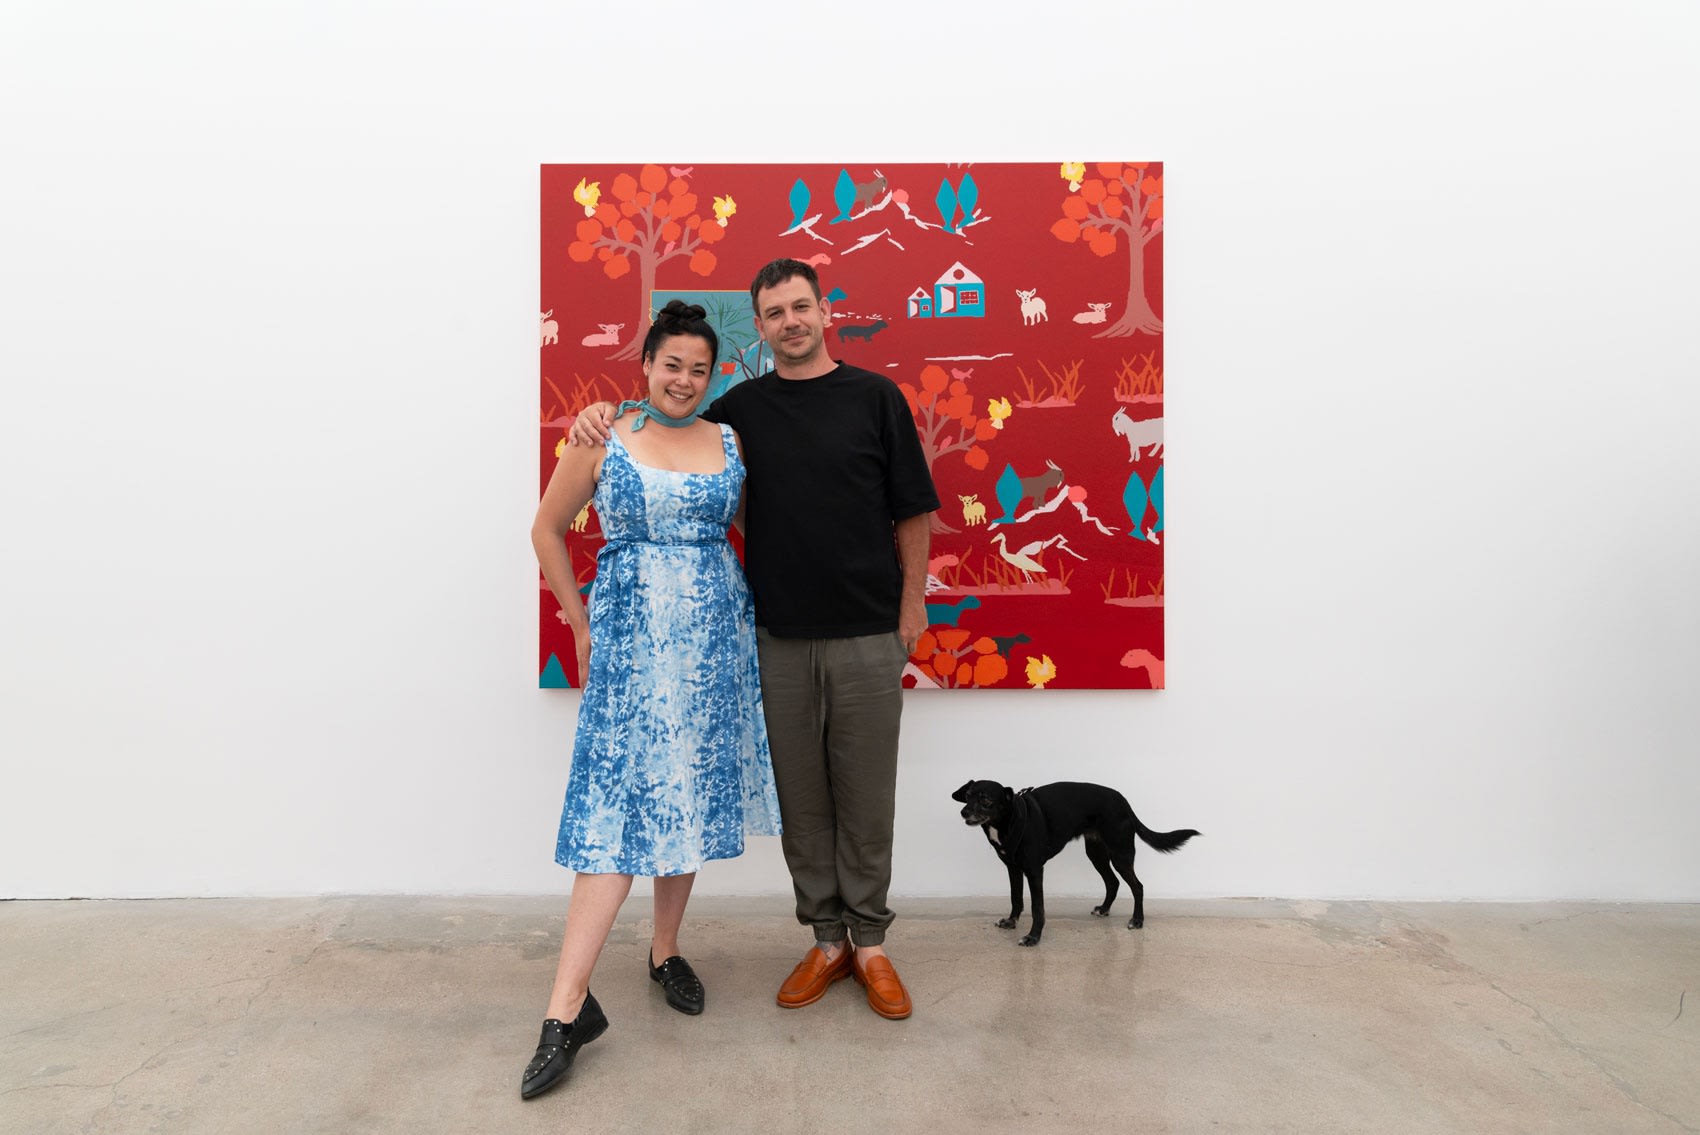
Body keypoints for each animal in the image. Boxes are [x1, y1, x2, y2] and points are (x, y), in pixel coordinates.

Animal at [952, 774, 1203, 944]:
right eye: (968, 796)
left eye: (985, 799)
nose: (964, 812)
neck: (1011, 820)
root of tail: (1124, 802)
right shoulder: (1013, 868)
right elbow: (1016, 899)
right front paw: (1011, 922)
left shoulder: (1034, 870)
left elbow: (1037, 907)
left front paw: (1033, 937)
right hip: (1096, 853)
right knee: (1113, 882)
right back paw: (1104, 909)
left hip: (1120, 853)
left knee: (1137, 886)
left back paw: (1137, 921)